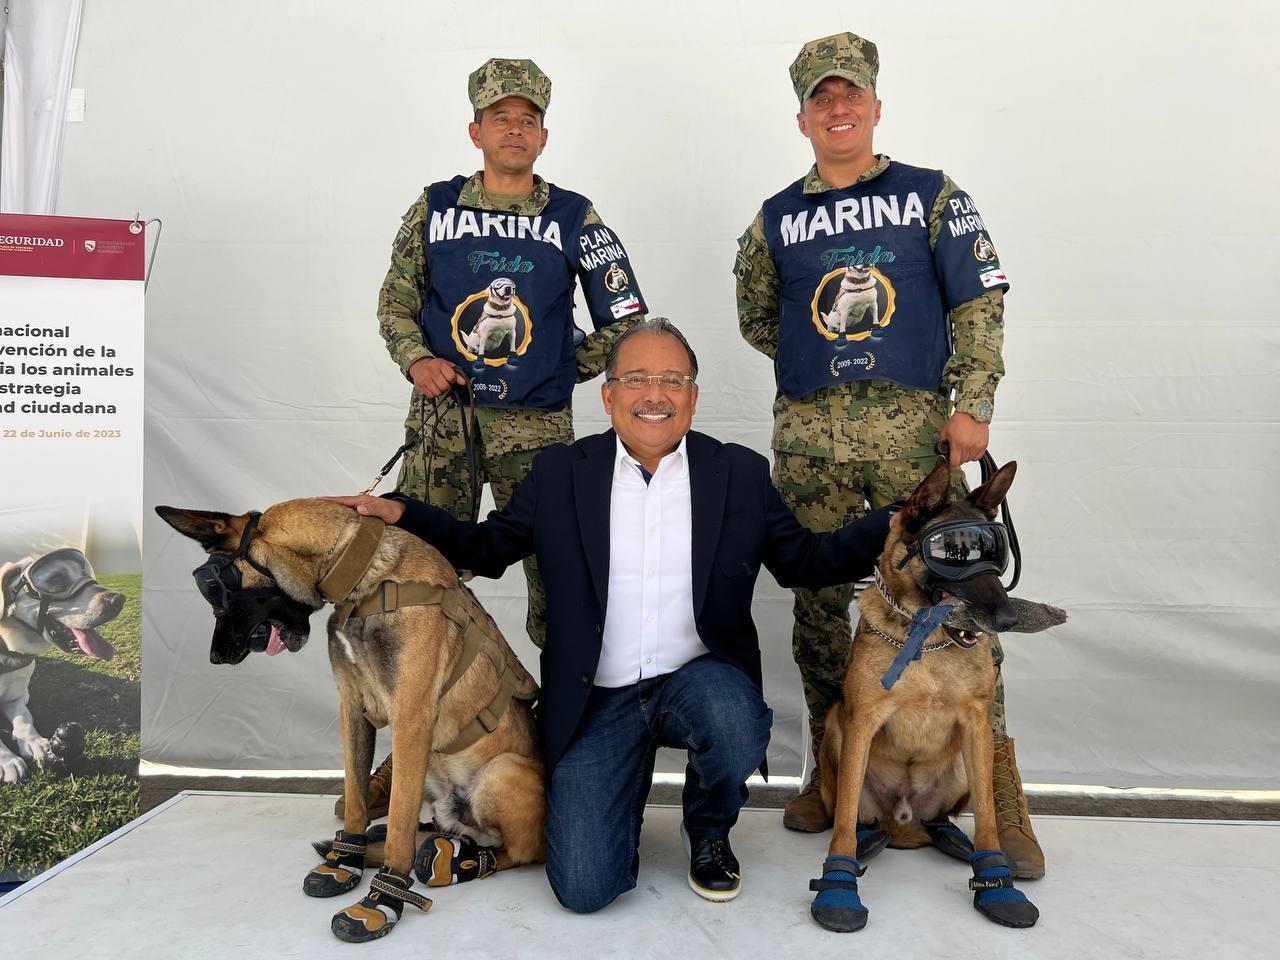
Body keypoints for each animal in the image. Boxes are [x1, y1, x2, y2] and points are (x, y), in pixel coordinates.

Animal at [0, 552, 123, 783]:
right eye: (56, 580)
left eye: (86, 573)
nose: (119, 600)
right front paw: (7, 760)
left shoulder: (18, 697)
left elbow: (24, 719)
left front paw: (35, 742)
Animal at [157, 499, 542, 942]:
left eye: (214, 591)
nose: (214, 657)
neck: (365, 581)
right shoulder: (352, 709)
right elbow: (357, 797)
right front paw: (346, 861)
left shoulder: (411, 718)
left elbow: (398, 824)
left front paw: (384, 898)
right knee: (443, 828)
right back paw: (432, 845)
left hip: (500, 772)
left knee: (518, 852)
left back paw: (466, 863)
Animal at [808, 463, 1070, 936]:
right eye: (952, 553)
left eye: (996, 555)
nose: (1008, 619)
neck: (928, 640)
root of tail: (905, 825)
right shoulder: (862, 721)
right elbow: (844, 823)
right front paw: (839, 884)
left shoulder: (976, 721)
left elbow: (987, 817)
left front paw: (997, 882)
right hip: (838, 730)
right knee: (857, 815)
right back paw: (870, 840)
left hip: (972, 753)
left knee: (946, 815)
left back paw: (951, 838)